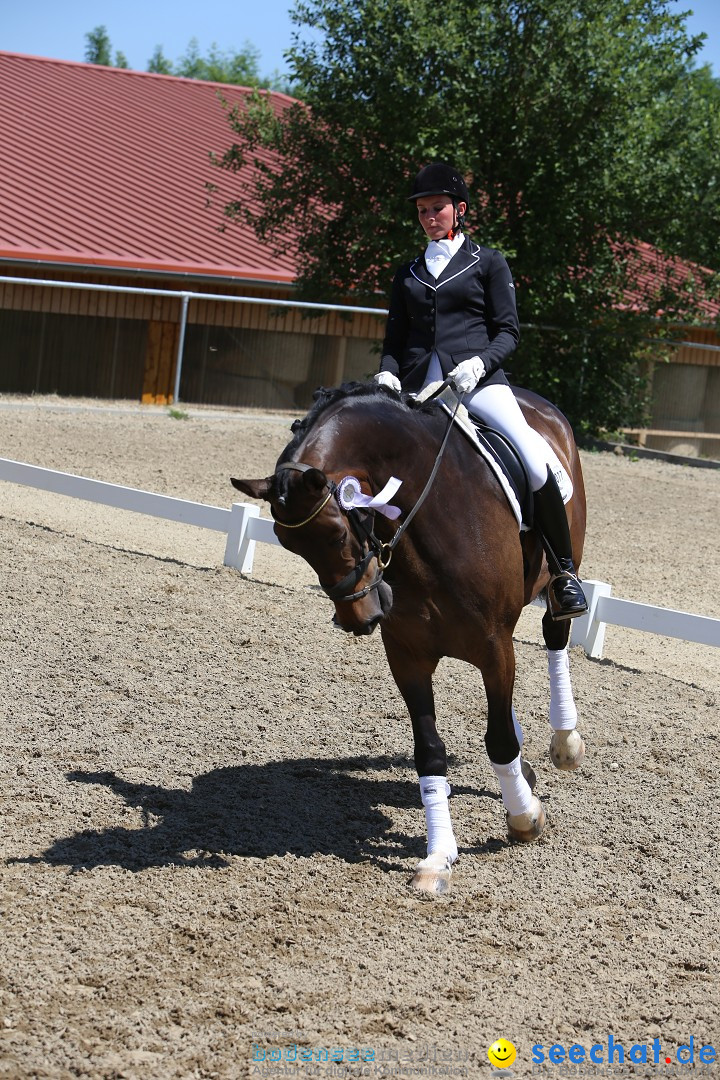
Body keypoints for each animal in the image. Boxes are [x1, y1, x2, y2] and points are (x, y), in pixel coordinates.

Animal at [234, 384, 587, 889]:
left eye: (337, 532)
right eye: (289, 544)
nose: (358, 616)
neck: (429, 519)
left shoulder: (495, 646)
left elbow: (499, 739)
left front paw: (524, 819)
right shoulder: (407, 655)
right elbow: (430, 752)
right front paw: (438, 856)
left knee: (556, 633)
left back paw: (565, 742)